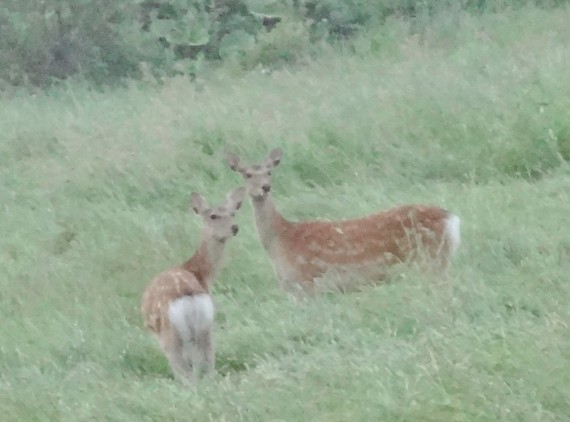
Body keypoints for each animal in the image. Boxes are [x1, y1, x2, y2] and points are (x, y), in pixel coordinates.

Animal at [140, 186, 244, 384]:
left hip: (170, 335)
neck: (200, 274)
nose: (234, 227)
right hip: (206, 328)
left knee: (186, 374)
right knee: (208, 366)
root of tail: (186, 293)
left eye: (233, 213)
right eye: (213, 216)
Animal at [225, 148, 458, 300]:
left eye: (269, 172)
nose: (264, 187)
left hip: (431, 260)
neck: (280, 240)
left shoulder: (307, 283)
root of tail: (451, 219)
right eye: (247, 174)